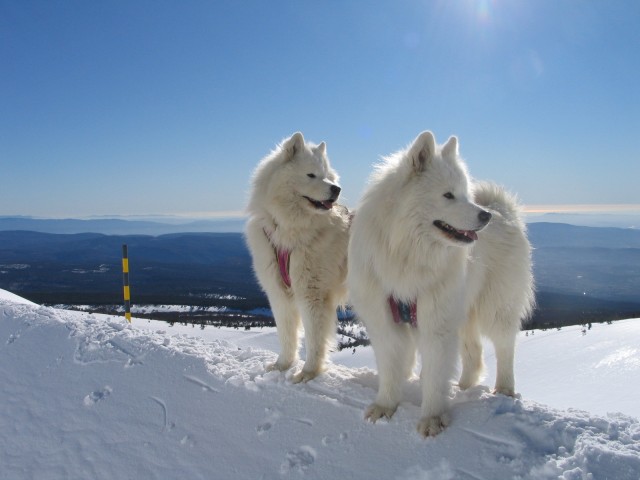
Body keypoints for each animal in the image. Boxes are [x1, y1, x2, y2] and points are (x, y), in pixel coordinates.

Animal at [245, 131, 350, 382]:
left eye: (328, 176)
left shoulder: (312, 293)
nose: (337, 189)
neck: (289, 230)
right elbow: (286, 335)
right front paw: (282, 365)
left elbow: (314, 340)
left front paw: (308, 373)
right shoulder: (278, 293)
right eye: (311, 174)